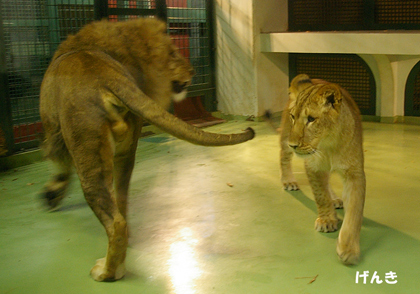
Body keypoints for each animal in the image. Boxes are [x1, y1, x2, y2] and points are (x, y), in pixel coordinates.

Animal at [39, 17, 253, 282]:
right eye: (173, 53)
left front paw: (51, 194)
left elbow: (59, 167)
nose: (192, 71)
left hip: (88, 155)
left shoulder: (54, 132)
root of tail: (106, 75)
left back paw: (107, 272)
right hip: (124, 154)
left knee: (115, 222)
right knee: (121, 204)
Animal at [280, 73, 366, 264]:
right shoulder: (313, 166)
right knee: (284, 158)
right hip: (285, 137)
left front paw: (348, 247)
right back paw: (288, 181)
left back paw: (336, 199)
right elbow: (320, 196)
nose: (293, 144)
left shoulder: (354, 172)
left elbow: (354, 210)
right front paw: (327, 220)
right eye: (293, 116)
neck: (328, 144)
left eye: (311, 119)